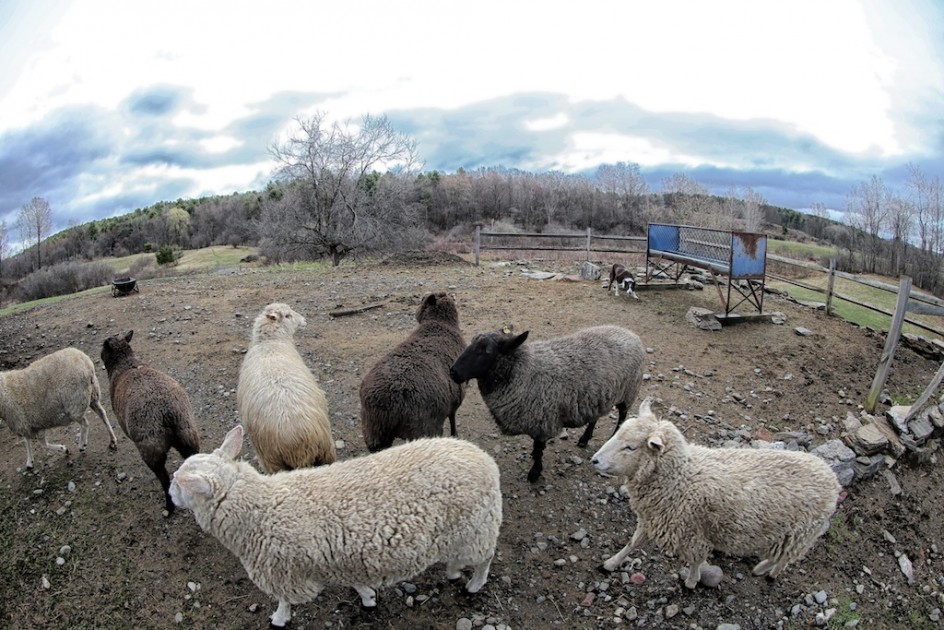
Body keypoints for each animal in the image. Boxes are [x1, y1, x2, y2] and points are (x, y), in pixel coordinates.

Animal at [100, 334, 200, 516]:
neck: (126, 363)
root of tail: (167, 412)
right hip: (188, 434)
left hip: (151, 448)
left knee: (164, 479)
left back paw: (168, 508)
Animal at [173, 428, 506, 628]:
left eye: (180, 482)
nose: (171, 495)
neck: (261, 509)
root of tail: (485, 460)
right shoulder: (338, 559)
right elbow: (357, 583)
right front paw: (368, 597)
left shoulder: (282, 570)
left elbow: (284, 600)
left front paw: (279, 618)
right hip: (464, 532)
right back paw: (452, 570)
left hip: (478, 528)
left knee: (485, 559)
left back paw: (473, 584)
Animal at [360, 294, 466, 452]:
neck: (440, 323)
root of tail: (387, 402)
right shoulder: (457, 395)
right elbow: (453, 417)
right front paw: (455, 435)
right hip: (423, 429)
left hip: (374, 432)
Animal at [448, 326, 640, 484]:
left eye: (485, 351)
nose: (453, 372)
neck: (524, 373)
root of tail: (630, 333)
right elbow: (536, 446)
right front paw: (534, 458)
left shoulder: (542, 420)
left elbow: (539, 447)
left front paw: (535, 472)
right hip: (597, 397)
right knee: (595, 417)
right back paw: (584, 439)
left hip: (628, 391)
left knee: (623, 415)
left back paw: (613, 435)